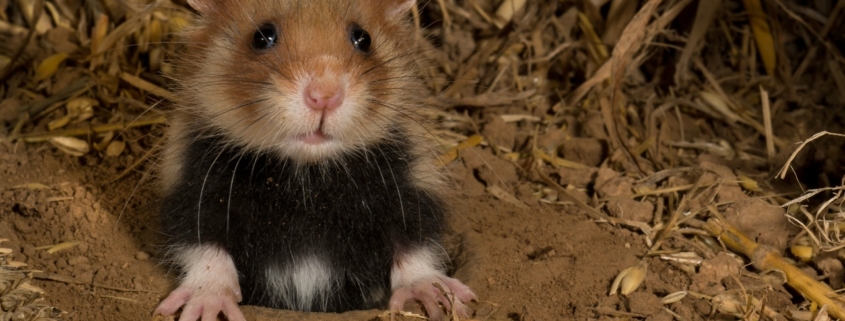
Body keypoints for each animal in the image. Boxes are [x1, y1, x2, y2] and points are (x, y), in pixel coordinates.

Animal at [152, 0, 474, 320]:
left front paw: (439, 298)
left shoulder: (407, 183)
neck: (307, 178)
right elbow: (205, 247)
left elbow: (413, 244)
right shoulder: (193, 187)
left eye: (363, 39)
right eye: (262, 36)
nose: (325, 96)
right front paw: (205, 307)